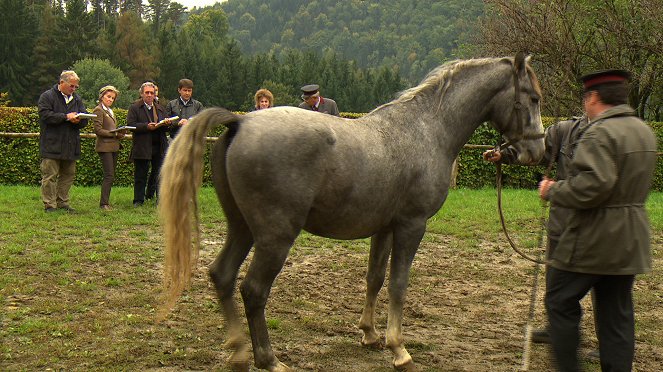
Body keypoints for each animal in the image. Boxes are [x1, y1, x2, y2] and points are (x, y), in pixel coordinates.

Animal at [160, 53, 544, 370]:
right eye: (534, 98)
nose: (536, 151)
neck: (426, 130)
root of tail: (240, 123)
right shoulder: (411, 226)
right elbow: (399, 283)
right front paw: (399, 349)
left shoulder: (385, 228)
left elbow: (375, 278)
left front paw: (370, 334)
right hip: (275, 237)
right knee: (254, 290)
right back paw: (269, 360)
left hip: (242, 228)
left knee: (222, 276)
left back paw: (239, 352)